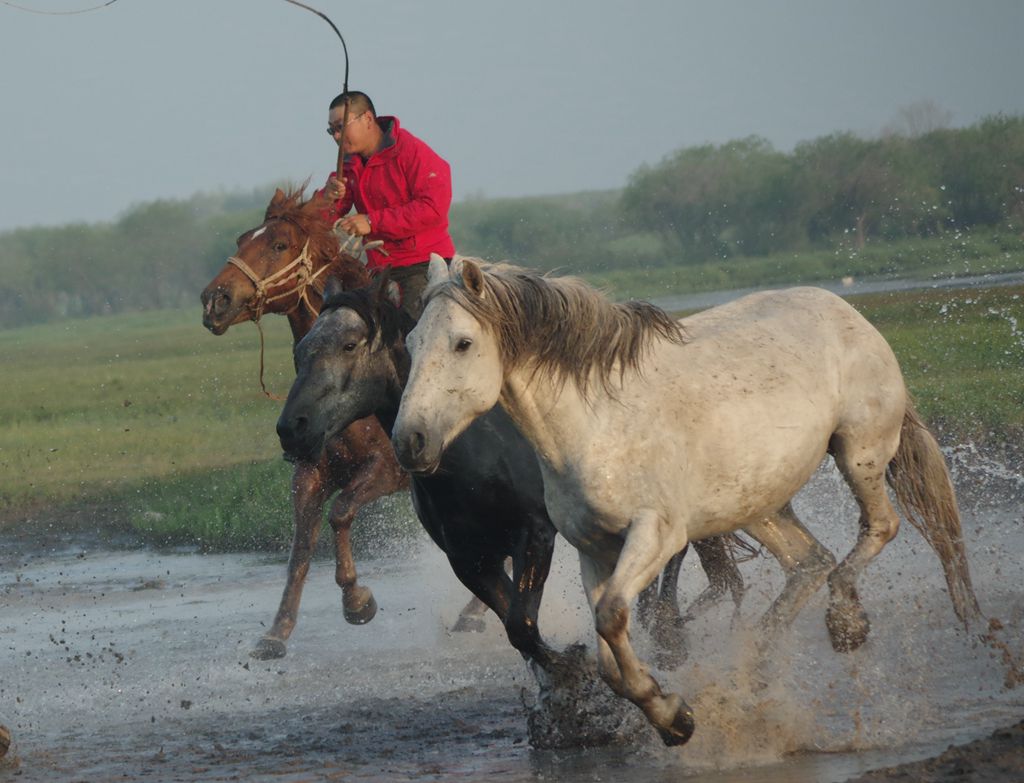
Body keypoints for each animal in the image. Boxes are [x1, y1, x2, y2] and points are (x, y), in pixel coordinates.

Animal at [199, 186, 411, 655]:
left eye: (279, 245)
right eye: (242, 239)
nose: (214, 300)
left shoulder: (387, 469)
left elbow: (341, 513)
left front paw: (357, 600)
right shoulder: (310, 472)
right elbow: (300, 548)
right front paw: (277, 631)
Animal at [278, 272, 745, 667]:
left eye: (350, 345)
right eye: (299, 351)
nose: (291, 428)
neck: (474, 452)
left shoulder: (534, 535)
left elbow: (522, 620)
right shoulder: (468, 558)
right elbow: (516, 628)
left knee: (676, 553)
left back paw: (667, 632)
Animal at [389, 256, 974, 745]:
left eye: (463, 343)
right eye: (412, 343)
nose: (409, 441)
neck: (598, 423)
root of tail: (846, 311)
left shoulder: (656, 534)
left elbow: (611, 616)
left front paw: (671, 715)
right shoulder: (593, 549)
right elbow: (607, 654)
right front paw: (675, 716)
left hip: (860, 452)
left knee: (879, 528)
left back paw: (846, 624)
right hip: (755, 503)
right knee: (810, 562)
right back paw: (753, 671)